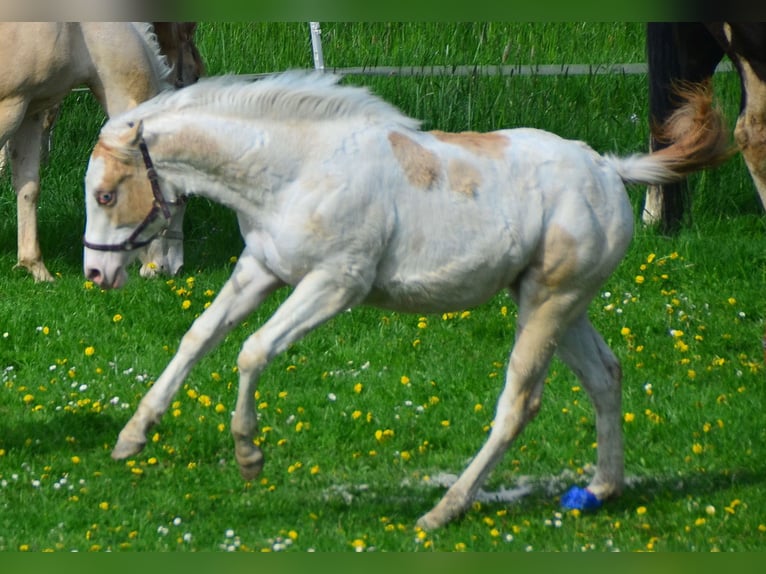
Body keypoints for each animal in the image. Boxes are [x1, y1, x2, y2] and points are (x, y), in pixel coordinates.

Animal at [0, 22, 195, 282]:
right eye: (181, 199)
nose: (174, 269)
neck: (80, 34)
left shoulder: (31, 111)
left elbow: (28, 189)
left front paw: (36, 267)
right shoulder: (10, 107)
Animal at [81, 72, 732, 529]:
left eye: (107, 194)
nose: (95, 272)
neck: (296, 171)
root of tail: (608, 170)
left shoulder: (335, 284)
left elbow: (252, 351)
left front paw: (249, 457)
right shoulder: (260, 270)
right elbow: (199, 337)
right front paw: (131, 437)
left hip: (549, 303)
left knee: (520, 403)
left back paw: (444, 511)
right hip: (563, 308)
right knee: (605, 375)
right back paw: (599, 489)